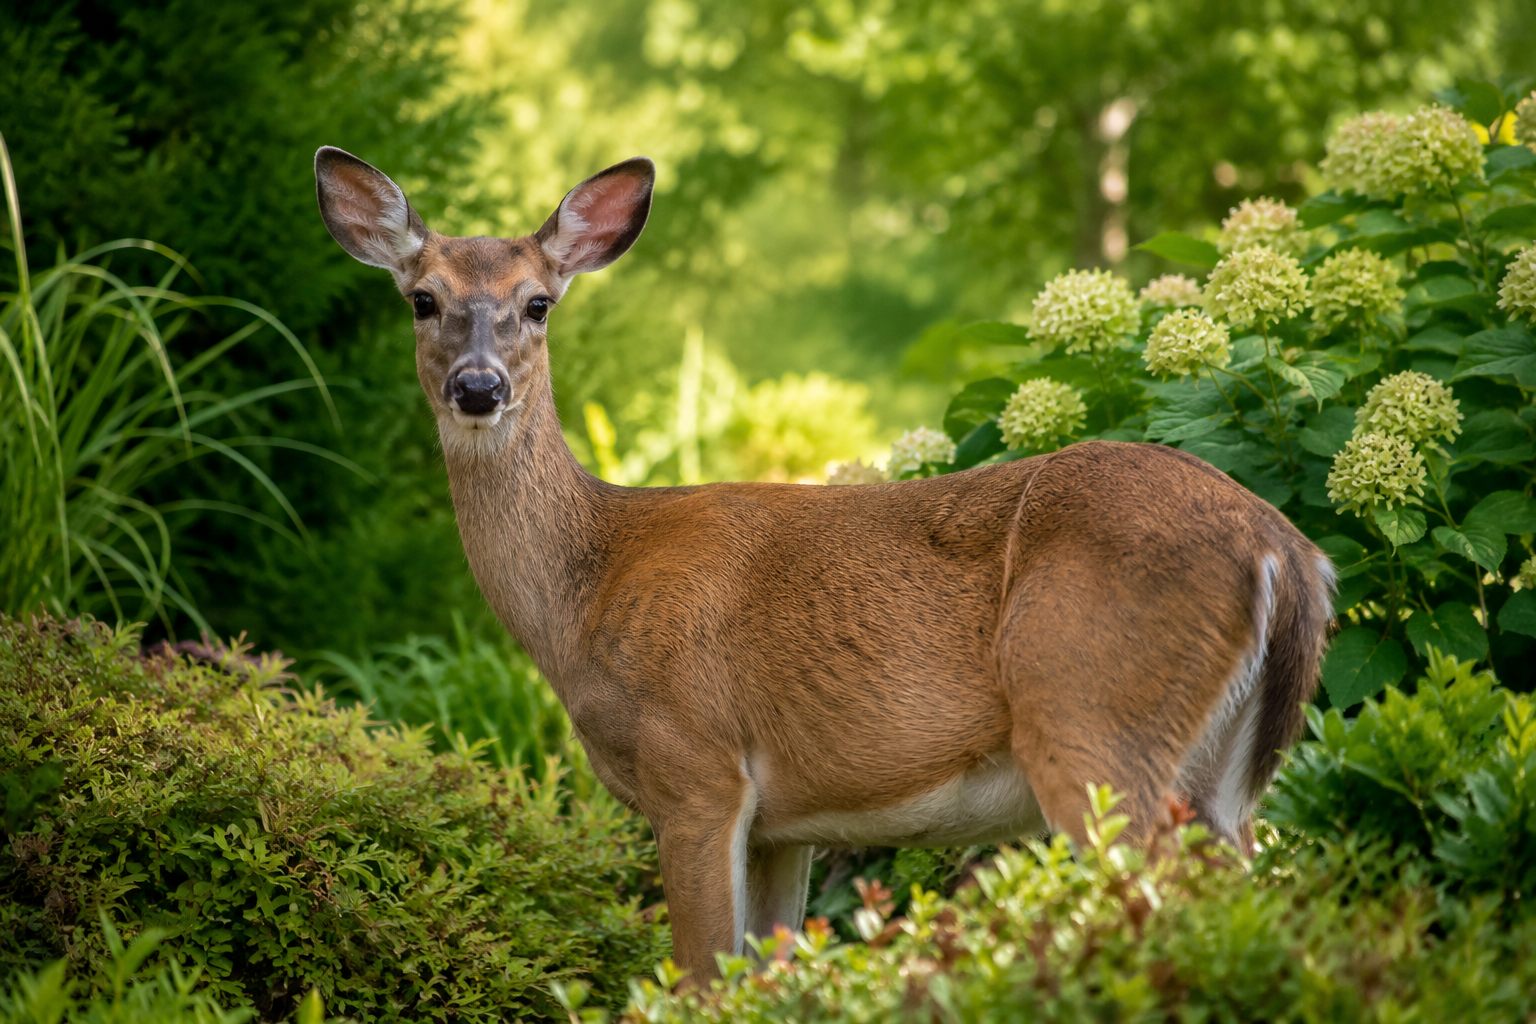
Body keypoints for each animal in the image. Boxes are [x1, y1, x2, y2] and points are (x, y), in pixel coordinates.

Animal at [314, 146, 1334, 981]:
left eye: (538, 303)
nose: (478, 387)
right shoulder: (784, 825)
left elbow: (702, 979)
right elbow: (766, 973)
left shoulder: (695, 768)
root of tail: (1286, 551)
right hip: (1222, 776)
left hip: (1092, 715)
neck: (587, 589)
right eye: (422, 299)